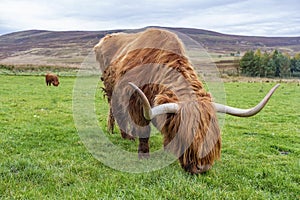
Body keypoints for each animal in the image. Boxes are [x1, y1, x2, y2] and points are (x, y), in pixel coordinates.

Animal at [94, 27, 278, 173]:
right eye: (187, 135)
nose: (201, 168)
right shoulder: (136, 100)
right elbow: (143, 128)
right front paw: (144, 155)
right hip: (113, 91)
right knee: (117, 111)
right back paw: (125, 136)